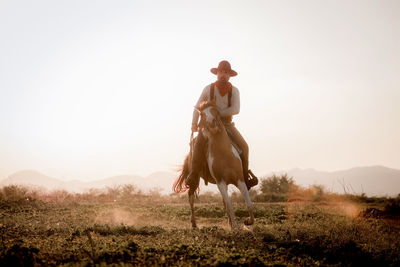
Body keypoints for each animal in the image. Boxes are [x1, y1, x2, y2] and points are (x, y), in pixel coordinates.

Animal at [173, 100, 255, 230]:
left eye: (215, 111)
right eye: (202, 114)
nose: (211, 124)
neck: (223, 153)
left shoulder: (240, 180)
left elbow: (249, 204)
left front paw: (247, 222)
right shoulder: (220, 182)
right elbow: (230, 206)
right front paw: (235, 228)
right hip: (195, 180)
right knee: (191, 198)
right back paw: (194, 224)